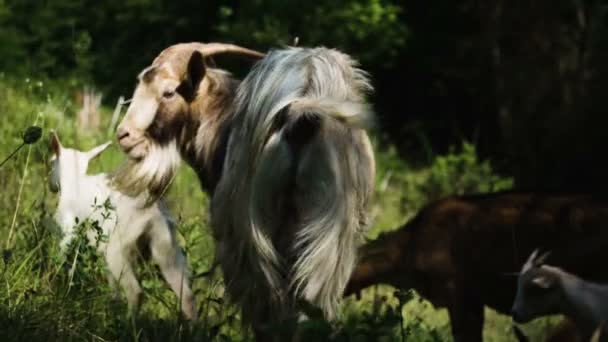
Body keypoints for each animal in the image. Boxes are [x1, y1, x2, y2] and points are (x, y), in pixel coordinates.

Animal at [50, 132, 197, 320]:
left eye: (51, 163)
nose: (51, 186)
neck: (75, 181)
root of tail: (152, 212)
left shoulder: (68, 233)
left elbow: (63, 261)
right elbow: (112, 284)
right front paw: (113, 305)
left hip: (117, 250)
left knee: (135, 291)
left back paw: (125, 323)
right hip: (166, 248)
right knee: (187, 296)